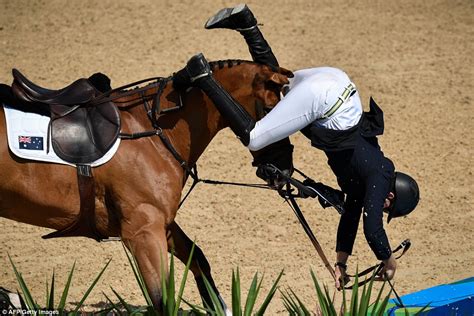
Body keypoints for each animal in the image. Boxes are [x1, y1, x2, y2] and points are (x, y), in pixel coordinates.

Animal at [0, 60, 292, 310]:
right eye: (270, 111)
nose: (284, 171)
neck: (153, 132)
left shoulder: (161, 222)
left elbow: (198, 258)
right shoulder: (143, 232)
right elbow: (162, 299)